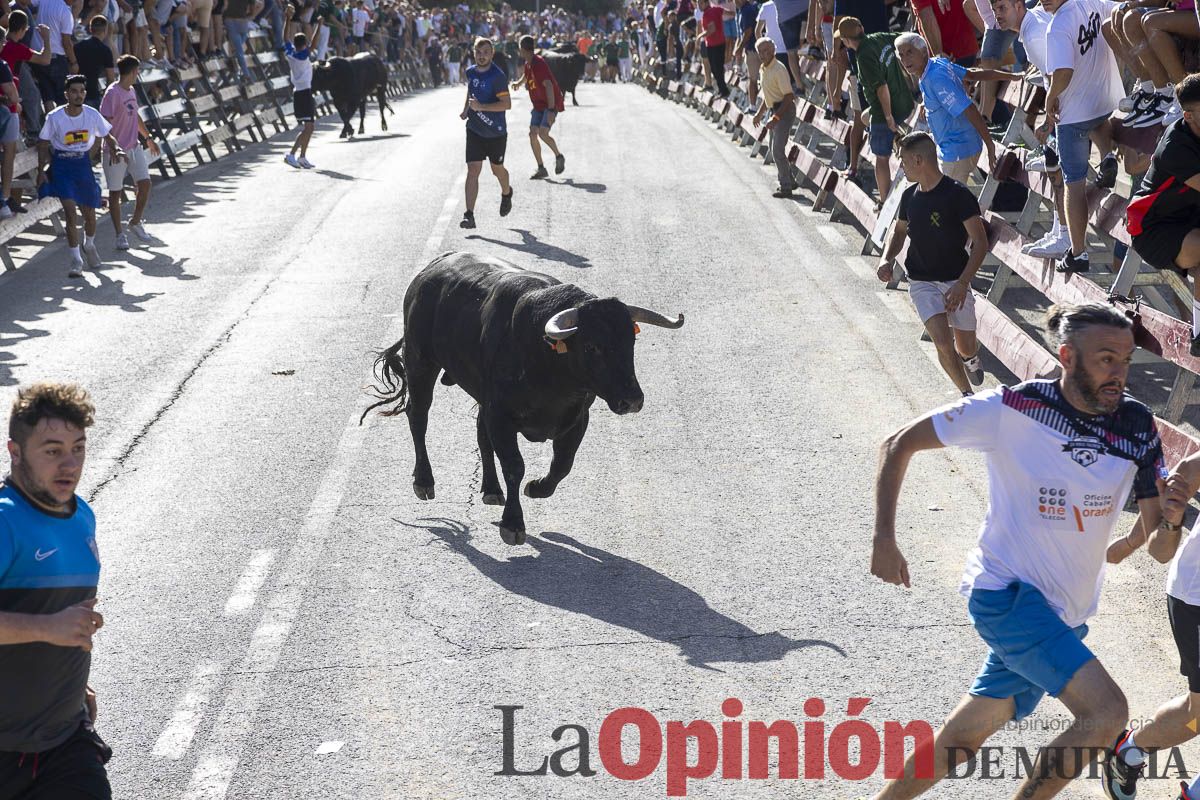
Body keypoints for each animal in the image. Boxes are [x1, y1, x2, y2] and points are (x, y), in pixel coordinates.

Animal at [357, 251, 686, 544]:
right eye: (592, 346)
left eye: (631, 341)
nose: (632, 400)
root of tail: (431, 269)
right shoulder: (501, 416)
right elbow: (515, 466)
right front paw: (513, 524)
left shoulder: (577, 418)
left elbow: (562, 464)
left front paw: (537, 488)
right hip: (420, 362)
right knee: (418, 416)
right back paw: (424, 481)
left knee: (480, 434)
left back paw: (491, 488)